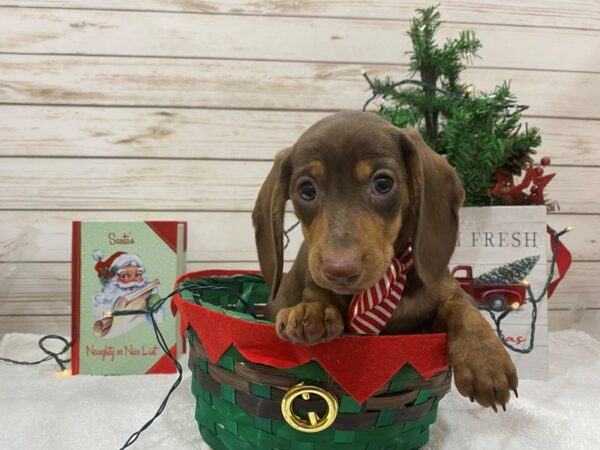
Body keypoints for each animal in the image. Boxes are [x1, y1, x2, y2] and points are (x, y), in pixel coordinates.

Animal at [251, 110, 516, 410]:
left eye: (383, 183)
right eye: (306, 190)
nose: (339, 271)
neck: (384, 286)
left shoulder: (438, 303)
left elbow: (462, 306)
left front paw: (485, 360)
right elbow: (316, 296)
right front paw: (311, 312)